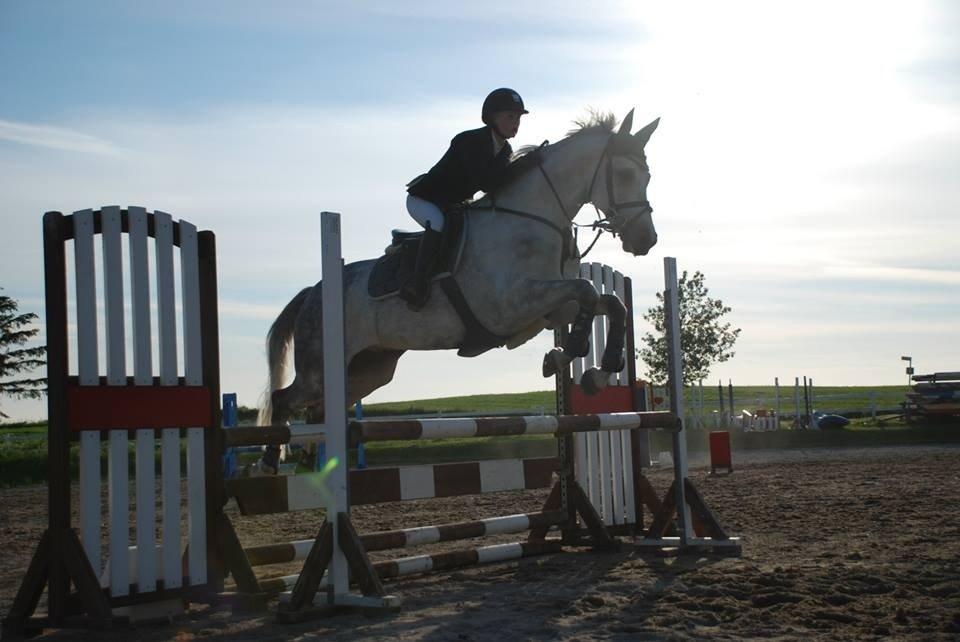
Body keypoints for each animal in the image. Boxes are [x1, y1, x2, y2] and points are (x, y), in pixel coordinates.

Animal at [256, 109, 660, 460]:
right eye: (625, 174)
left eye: (648, 177)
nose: (646, 241)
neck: (533, 218)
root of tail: (313, 292)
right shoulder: (511, 306)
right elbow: (588, 292)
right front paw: (569, 353)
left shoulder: (549, 306)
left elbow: (610, 303)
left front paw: (596, 371)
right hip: (319, 366)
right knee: (284, 399)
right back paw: (272, 460)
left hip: (369, 369)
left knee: (319, 411)